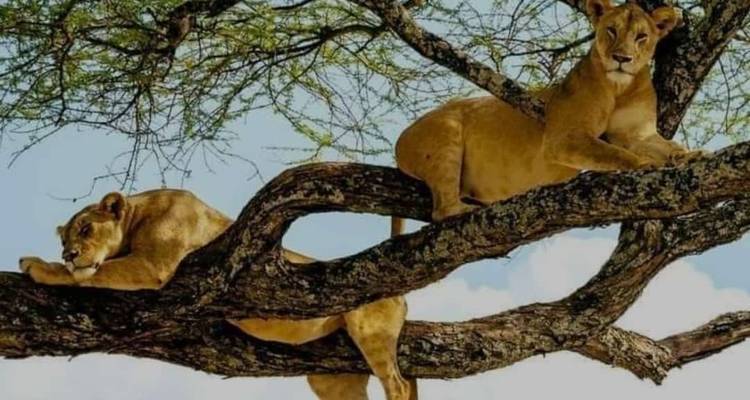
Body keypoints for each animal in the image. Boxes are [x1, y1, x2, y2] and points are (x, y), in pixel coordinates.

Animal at [19, 189, 415, 400]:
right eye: (64, 238)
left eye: (86, 229)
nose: (68, 254)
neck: (138, 214)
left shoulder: (153, 265)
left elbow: (92, 274)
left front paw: (39, 266)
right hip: (331, 377)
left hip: (371, 334)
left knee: (398, 385)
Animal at [394, 0, 706, 223]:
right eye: (611, 30)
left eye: (642, 36)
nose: (622, 58)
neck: (619, 87)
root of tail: (400, 138)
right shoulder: (563, 138)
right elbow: (616, 153)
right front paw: (646, 166)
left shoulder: (636, 134)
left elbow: (667, 146)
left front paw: (692, 154)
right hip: (446, 134)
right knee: (441, 211)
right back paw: (465, 210)